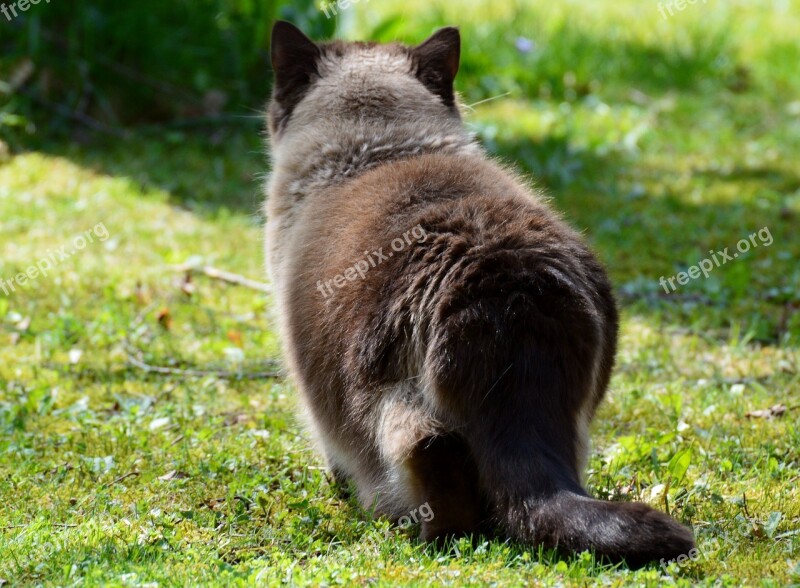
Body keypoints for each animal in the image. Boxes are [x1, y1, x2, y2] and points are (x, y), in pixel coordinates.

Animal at [264, 20, 692, 568]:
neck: (378, 147)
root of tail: (508, 281)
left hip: (384, 396)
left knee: (427, 449)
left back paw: (434, 537)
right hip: (578, 412)